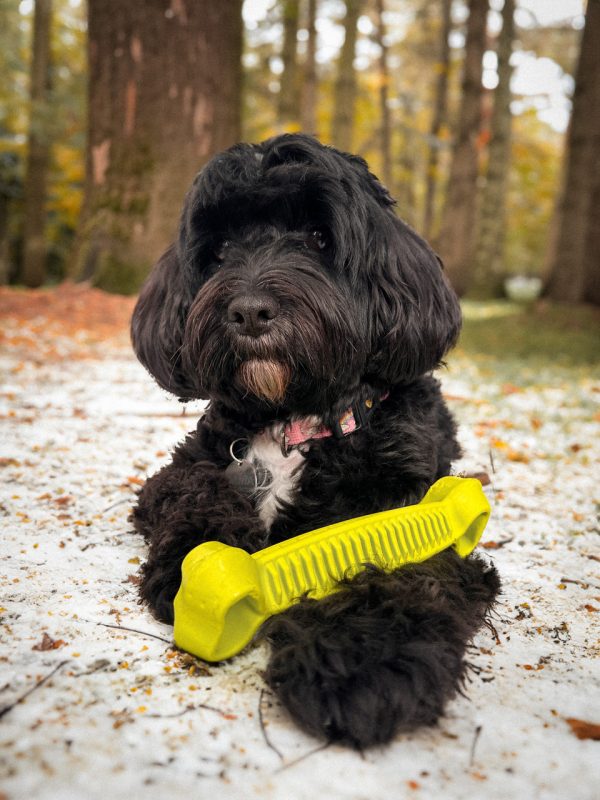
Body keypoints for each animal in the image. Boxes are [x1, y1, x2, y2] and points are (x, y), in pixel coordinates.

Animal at [131, 133, 502, 752]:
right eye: (221, 247)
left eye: (318, 238)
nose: (249, 310)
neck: (296, 422)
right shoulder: (184, 466)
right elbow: (192, 489)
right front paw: (194, 559)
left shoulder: (413, 508)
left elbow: (404, 571)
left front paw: (359, 661)